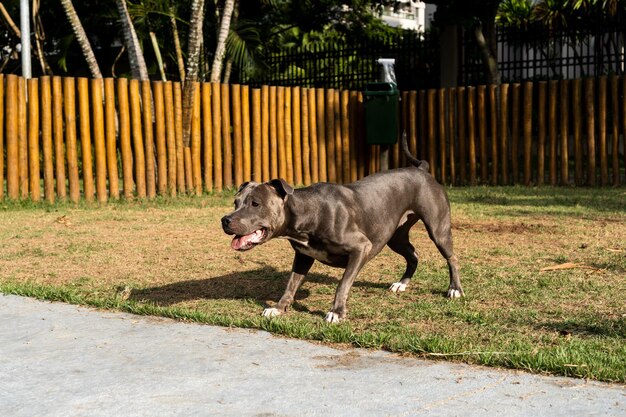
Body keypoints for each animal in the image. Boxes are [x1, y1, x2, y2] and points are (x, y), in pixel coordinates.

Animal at [222, 133, 460, 322]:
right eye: (236, 202)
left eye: (255, 204)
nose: (225, 220)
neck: (309, 213)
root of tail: (422, 170)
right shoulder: (303, 256)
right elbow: (291, 284)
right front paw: (278, 308)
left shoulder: (361, 248)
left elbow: (343, 284)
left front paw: (336, 312)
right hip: (395, 236)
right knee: (413, 255)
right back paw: (402, 283)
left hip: (438, 229)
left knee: (451, 258)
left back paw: (454, 289)